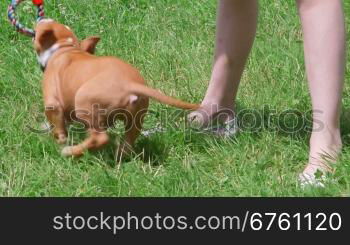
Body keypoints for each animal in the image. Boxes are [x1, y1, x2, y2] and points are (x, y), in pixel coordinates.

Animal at [33, 19, 198, 161]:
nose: (41, 19)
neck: (65, 49)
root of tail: (128, 83)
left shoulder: (52, 103)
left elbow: (58, 127)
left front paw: (59, 141)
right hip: (136, 117)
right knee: (128, 142)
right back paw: (119, 157)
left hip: (86, 105)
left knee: (100, 138)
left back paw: (70, 152)